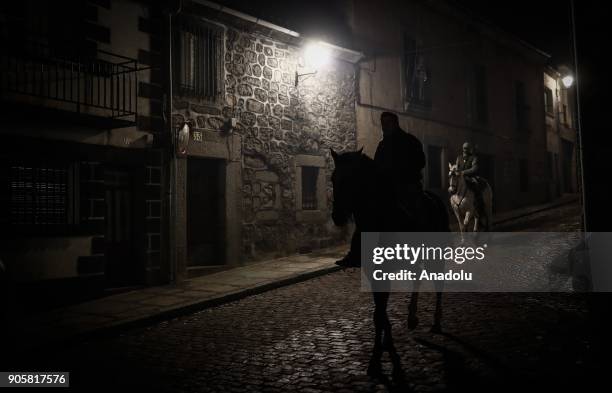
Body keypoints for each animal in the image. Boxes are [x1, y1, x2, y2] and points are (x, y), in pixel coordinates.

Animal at [330, 148, 450, 376]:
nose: (337, 217)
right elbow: (380, 312)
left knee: (439, 283)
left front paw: (377, 357)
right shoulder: (373, 274)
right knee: (417, 276)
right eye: (333, 178)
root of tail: (434, 198)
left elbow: (380, 313)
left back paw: (437, 321)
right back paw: (412, 317)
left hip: (435, 254)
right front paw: (386, 345)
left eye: (351, 178)